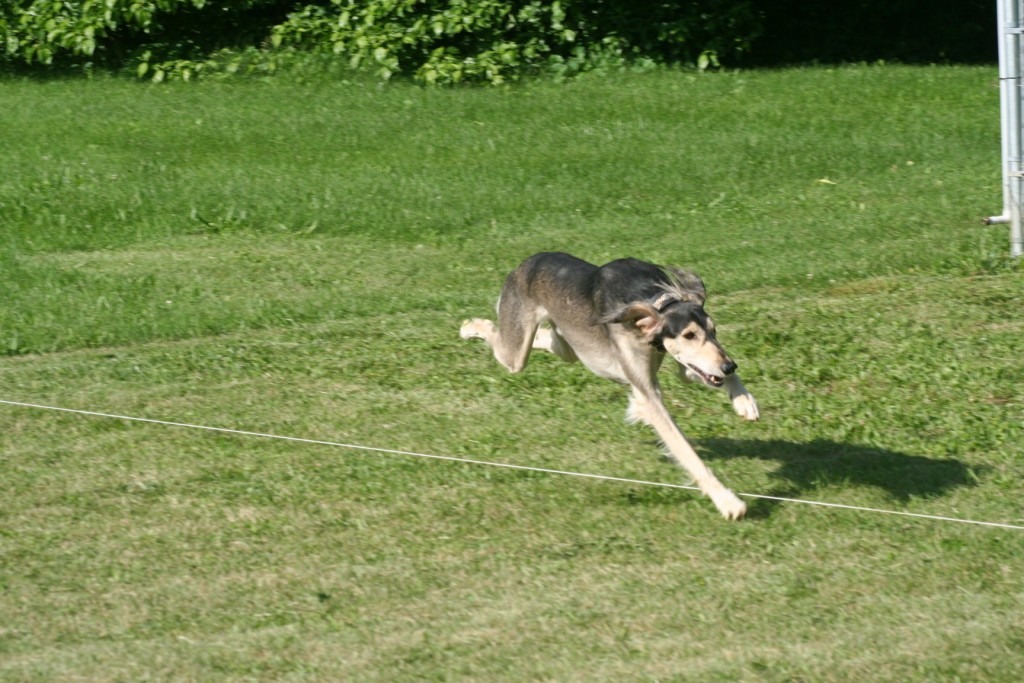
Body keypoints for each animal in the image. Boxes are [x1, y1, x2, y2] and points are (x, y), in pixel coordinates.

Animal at [460, 253, 757, 520]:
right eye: (689, 335)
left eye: (713, 331)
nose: (729, 366)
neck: (653, 303)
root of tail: (526, 263)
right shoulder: (648, 397)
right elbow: (688, 453)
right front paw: (727, 501)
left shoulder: (687, 365)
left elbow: (710, 374)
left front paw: (743, 400)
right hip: (515, 354)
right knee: (500, 341)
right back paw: (471, 326)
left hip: (568, 346)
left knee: (549, 340)